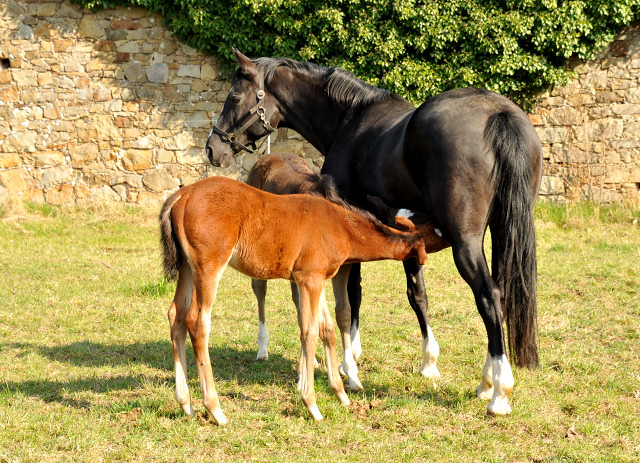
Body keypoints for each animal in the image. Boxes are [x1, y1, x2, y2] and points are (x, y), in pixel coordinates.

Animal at [160, 175, 428, 424]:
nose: (420, 268)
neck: (339, 224)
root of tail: (182, 196)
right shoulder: (310, 279)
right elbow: (309, 332)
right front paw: (312, 404)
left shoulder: (314, 279)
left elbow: (326, 329)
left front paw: (340, 394)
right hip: (208, 267)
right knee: (197, 322)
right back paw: (215, 410)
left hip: (187, 268)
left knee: (176, 317)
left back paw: (186, 404)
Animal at [206, 49, 544, 416]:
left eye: (234, 97)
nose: (212, 148)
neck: (349, 120)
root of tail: (499, 114)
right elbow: (417, 295)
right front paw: (428, 362)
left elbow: (353, 295)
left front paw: (349, 360)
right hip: (500, 231)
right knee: (502, 294)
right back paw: (487, 381)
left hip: (466, 243)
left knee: (489, 296)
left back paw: (498, 391)